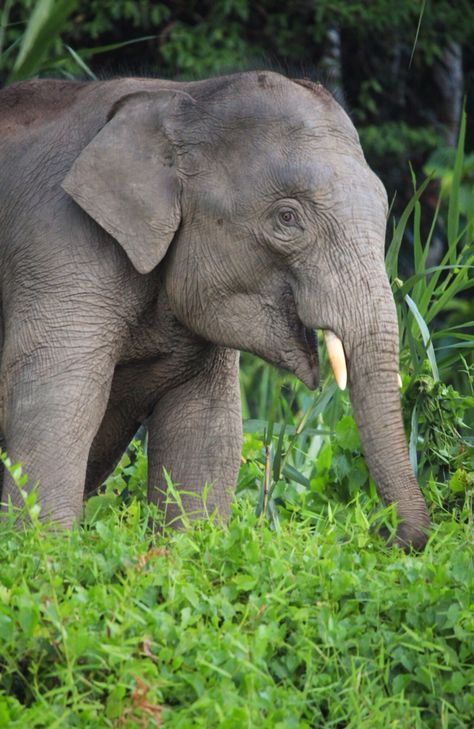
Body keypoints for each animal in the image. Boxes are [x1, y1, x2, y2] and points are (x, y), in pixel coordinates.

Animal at [0, 69, 430, 544]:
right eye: (287, 218)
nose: (382, 532)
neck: (182, 97)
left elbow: (206, 425)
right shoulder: (58, 242)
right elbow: (56, 399)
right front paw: (43, 547)